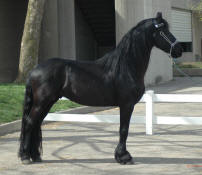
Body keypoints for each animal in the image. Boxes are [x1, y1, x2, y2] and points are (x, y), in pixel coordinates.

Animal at [19, 12, 183, 165]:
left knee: (36, 123)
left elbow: (123, 129)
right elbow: (124, 130)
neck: (126, 67)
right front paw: (123, 157)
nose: (179, 49)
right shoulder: (127, 104)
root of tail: (34, 70)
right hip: (42, 102)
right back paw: (25, 157)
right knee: (29, 123)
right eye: (163, 30)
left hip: (47, 102)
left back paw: (35, 156)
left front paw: (121, 156)